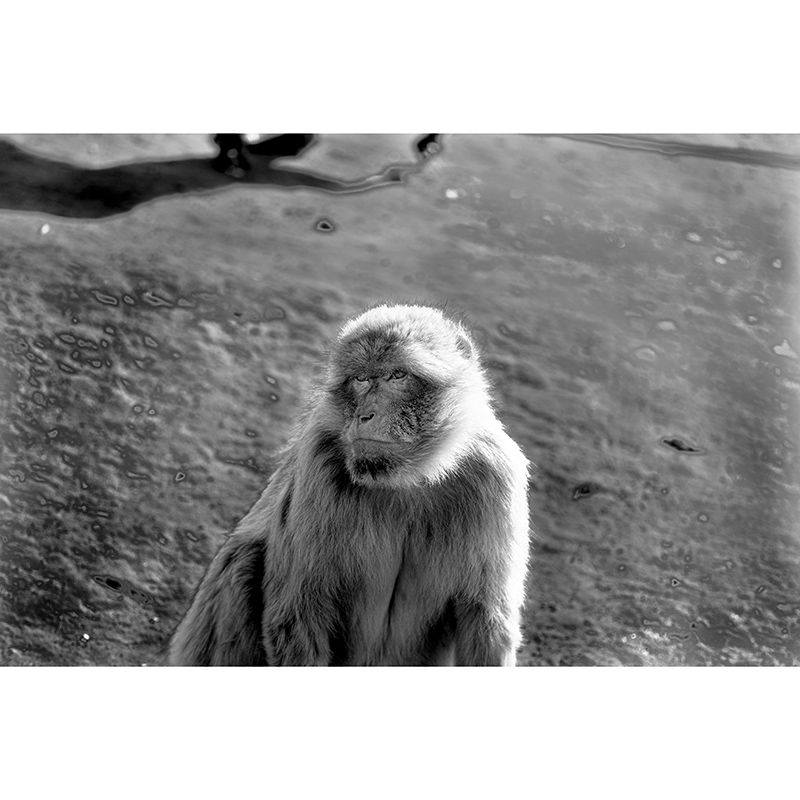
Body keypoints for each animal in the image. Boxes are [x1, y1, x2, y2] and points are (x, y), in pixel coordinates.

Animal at [168, 304, 531, 666]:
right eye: (361, 379)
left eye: (397, 376)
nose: (366, 415)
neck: (407, 480)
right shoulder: (317, 462)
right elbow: (297, 611)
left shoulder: (495, 475)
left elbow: (485, 618)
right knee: (242, 559)